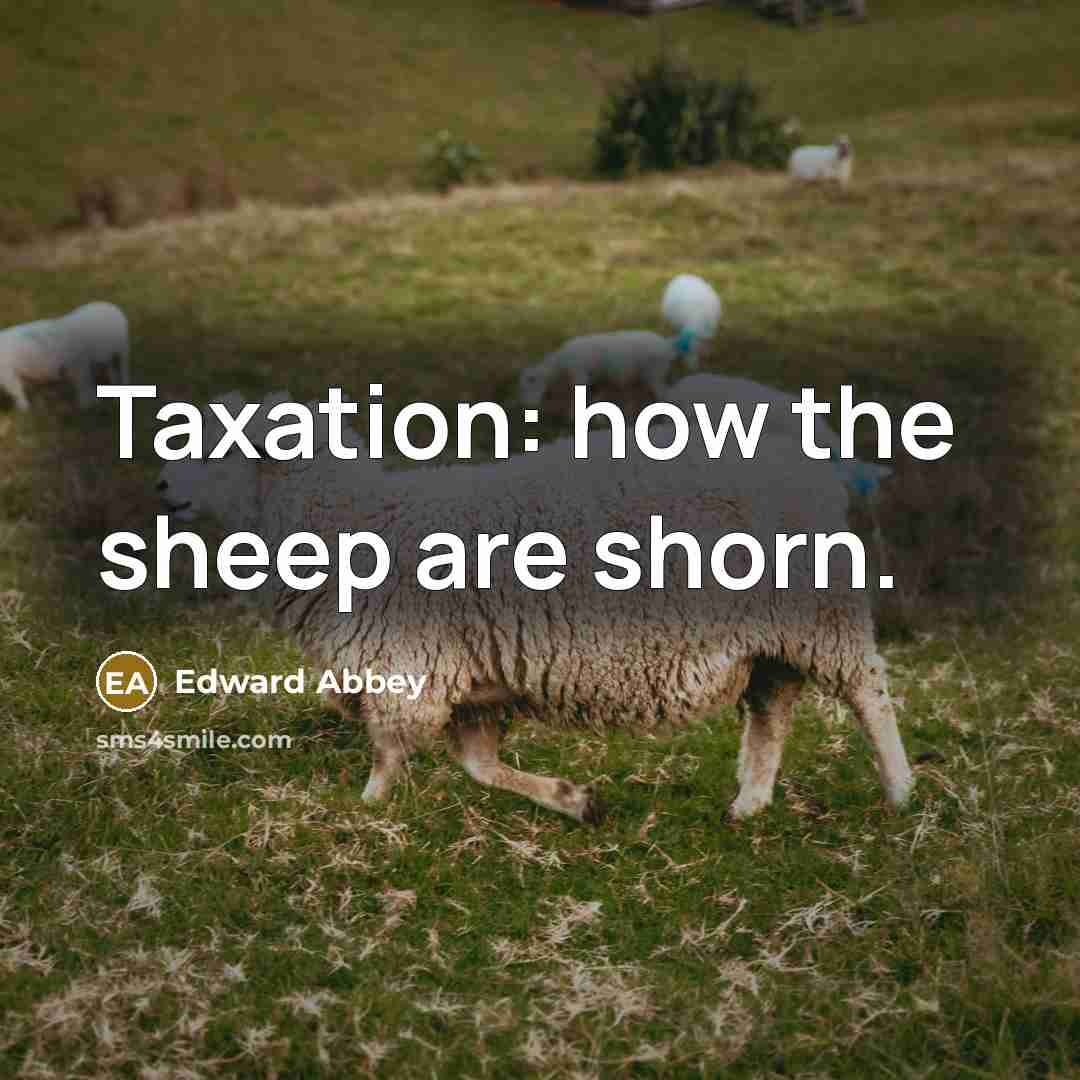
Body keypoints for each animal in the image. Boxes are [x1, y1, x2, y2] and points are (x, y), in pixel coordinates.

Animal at [156, 391, 914, 824]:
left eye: (220, 444)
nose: (161, 484)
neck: (356, 522)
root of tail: (814, 468)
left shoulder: (407, 666)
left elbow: (390, 749)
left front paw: (364, 808)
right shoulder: (473, 683)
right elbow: (478, 766)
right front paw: (574, 801)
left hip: (821, 616)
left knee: (868, 692)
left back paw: (901, 792)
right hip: (770, 640)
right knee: (771, 714)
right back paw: (749, 804)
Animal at [517, 274, 722, 418]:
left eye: (530, 384)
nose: (528, 407)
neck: (560, 363)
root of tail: (666, 345)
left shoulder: (580, 374)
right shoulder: (595, 377)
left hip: (654, 371)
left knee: (664, 394)